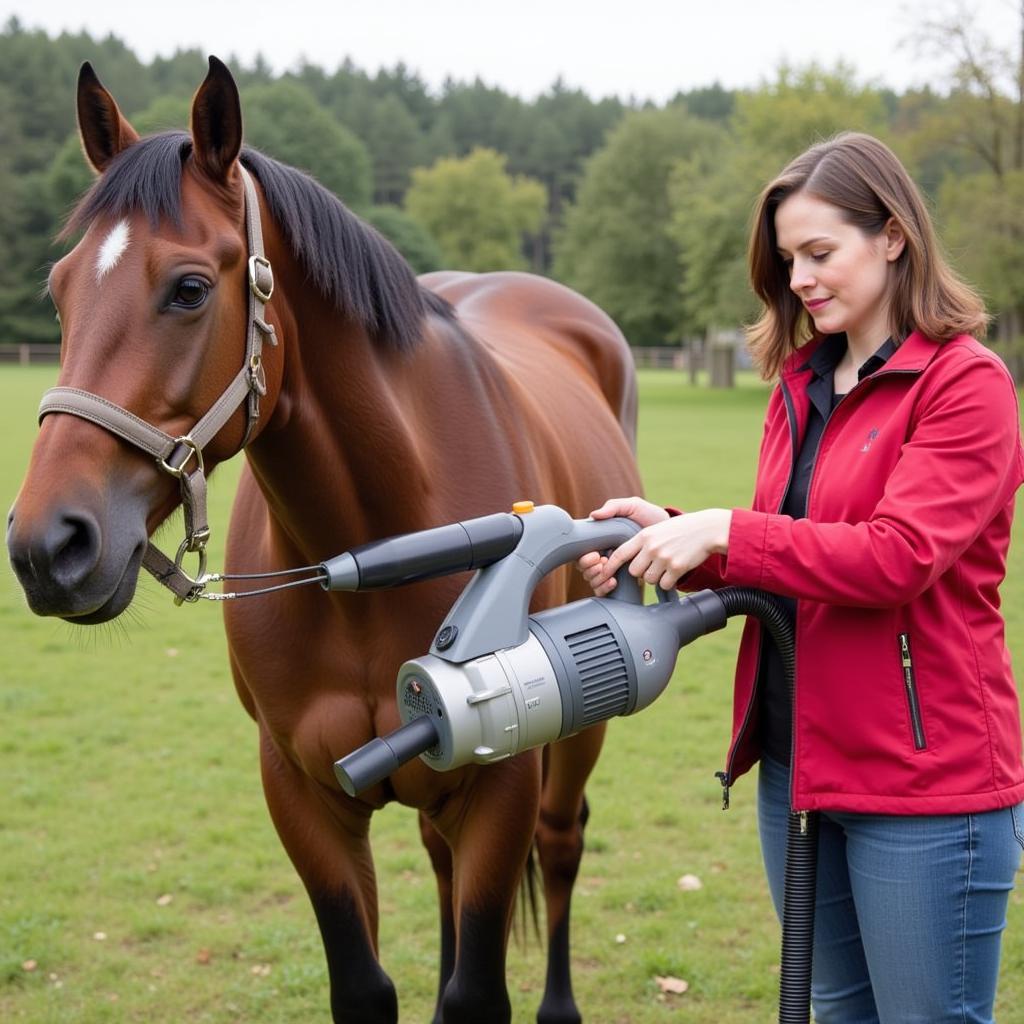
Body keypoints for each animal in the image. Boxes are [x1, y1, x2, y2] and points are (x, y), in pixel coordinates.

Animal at [8, 58, 643, 1024]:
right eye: (59, 290)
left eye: (189, 288)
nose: (49, 546)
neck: (377, 543)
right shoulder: (304, 790)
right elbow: (366, 986)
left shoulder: (503, 776)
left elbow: (474, 991)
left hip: (576, 733)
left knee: (564, 844)